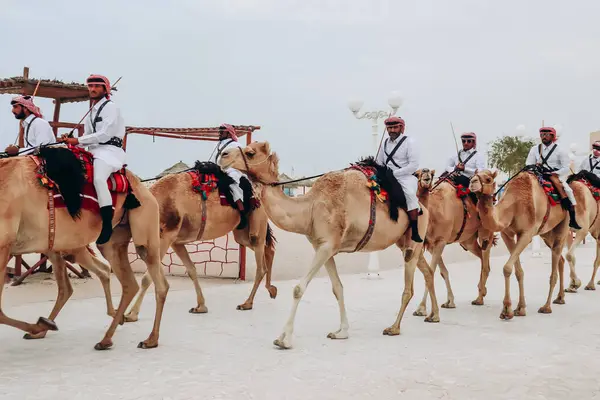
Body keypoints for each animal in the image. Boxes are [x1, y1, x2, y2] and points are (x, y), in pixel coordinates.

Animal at [0, 147, 169, 350]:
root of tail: (145, 189)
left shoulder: (4, 245)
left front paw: (40, 324)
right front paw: (41, 325)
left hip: (145, 226)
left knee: (158, 282)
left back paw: (150, 339)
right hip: (105, 242)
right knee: (124, 282)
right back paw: (107, 337)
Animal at [126, 162, 278, 322]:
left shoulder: (166, 236)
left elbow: (147, 277)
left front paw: (132, 314)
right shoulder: (176, 242)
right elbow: (191, 270)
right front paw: (200, 306)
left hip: (257, 217)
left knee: (260, 262)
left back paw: (247, 303)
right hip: (241, 232)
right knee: (268, 248)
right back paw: (271, 290)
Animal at [218, 141, 438, 350]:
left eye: (250, 152)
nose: (223, 155)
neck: (310, 208)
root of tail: (424, 208)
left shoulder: (326, 246)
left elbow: (298, 288)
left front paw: (284, 339)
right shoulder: (324, 248)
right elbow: (337, 288)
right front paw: (342, 331)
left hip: (414, 240)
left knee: (409, 286)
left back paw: (394, 327)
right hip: (405, 242)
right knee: (427, 272)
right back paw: (433, 315)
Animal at [412, 169, 492, 316]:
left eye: (431, 174)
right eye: (416, 173)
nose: (426, 173)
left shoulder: (441, 241)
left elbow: (431, 272)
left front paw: (421, 308)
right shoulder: (432, 244)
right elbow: (441, 272)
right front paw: (450, 302)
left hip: (486, 232)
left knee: (485, 257)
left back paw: (480, 297)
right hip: (468, 241)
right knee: (482, 258)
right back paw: (482, 291)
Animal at [466, 169, 568, 318]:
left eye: (488, 179)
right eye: (473, 175)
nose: (472, 182)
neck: (514, 205)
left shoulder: (527, 233)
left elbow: (507, 268)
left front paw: (507, 310)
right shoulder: (507, 234)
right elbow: (518, 271)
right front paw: (520, 308)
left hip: (563, 225)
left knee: (555, 263)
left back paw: (546, 307)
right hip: (547, 233)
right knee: (560, 259)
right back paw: (560, 298)